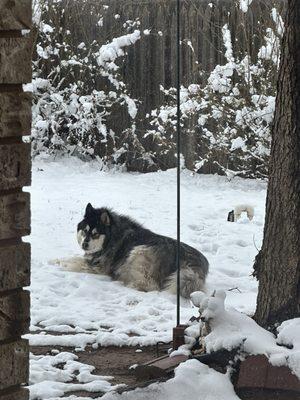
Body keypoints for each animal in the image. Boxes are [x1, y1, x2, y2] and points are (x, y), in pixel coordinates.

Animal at [54, 205, 209, 298]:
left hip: (139, 251)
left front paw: (63, 266)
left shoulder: (98, 267)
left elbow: (75, 263)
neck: (112, 237)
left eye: (95, 234)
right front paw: (55, 260)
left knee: (149, 285)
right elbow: (72, 258)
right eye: (85, 231)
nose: (85, 244)